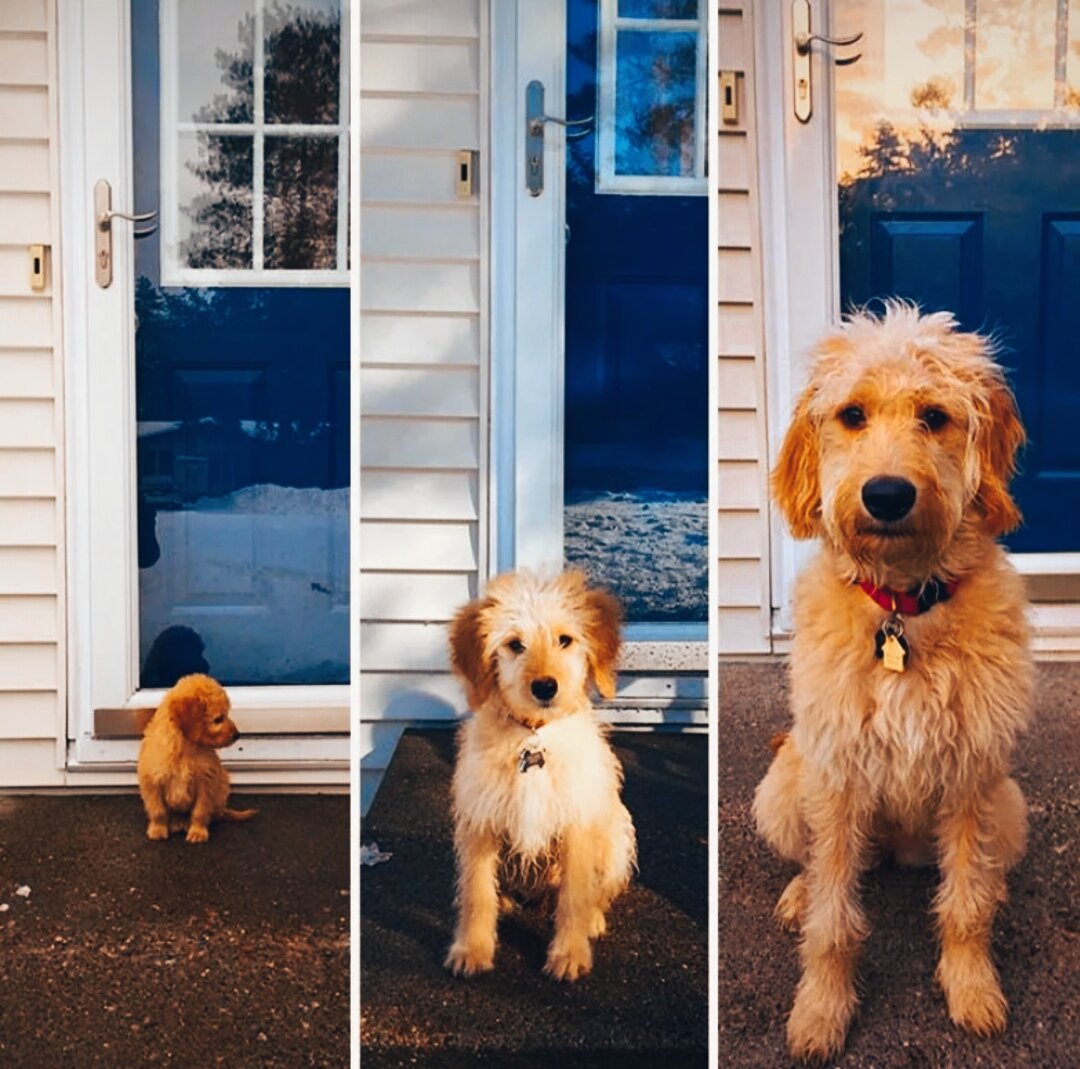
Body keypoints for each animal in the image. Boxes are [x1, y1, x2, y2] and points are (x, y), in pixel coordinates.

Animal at [137, 678, 257, 846]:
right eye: (218, 719)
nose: (237, 735)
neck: (184, 746)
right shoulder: (152, 781)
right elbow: (158, 810)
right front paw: (158, 829)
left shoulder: (206, 782)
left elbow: (200, 811)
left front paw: (198, 832)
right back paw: (176, 821)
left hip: (222, 783)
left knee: (215, 813)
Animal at [444, 574, 635, 984]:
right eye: (515, 644)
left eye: (565, 639)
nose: (545, 687)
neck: (533, 737)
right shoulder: (480, 820)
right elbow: (477, 892)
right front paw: (472, 949)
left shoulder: (578, 822)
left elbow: (575, 895)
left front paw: (569, 953)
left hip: (616, 837)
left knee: (597, 890)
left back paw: (592, 918)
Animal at [756, 302, 1032, 1062]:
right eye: (852, 414)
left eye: (935, 416)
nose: (885, 494)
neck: (905, 608)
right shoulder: (839, 777)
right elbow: (834, 921)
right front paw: (821, 1011)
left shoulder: (971, 777)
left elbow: (964, 906)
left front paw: (972, 988)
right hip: (785, 788)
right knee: (817, 863)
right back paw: (798, 893)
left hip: (1010, 807)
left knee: (980, 874)